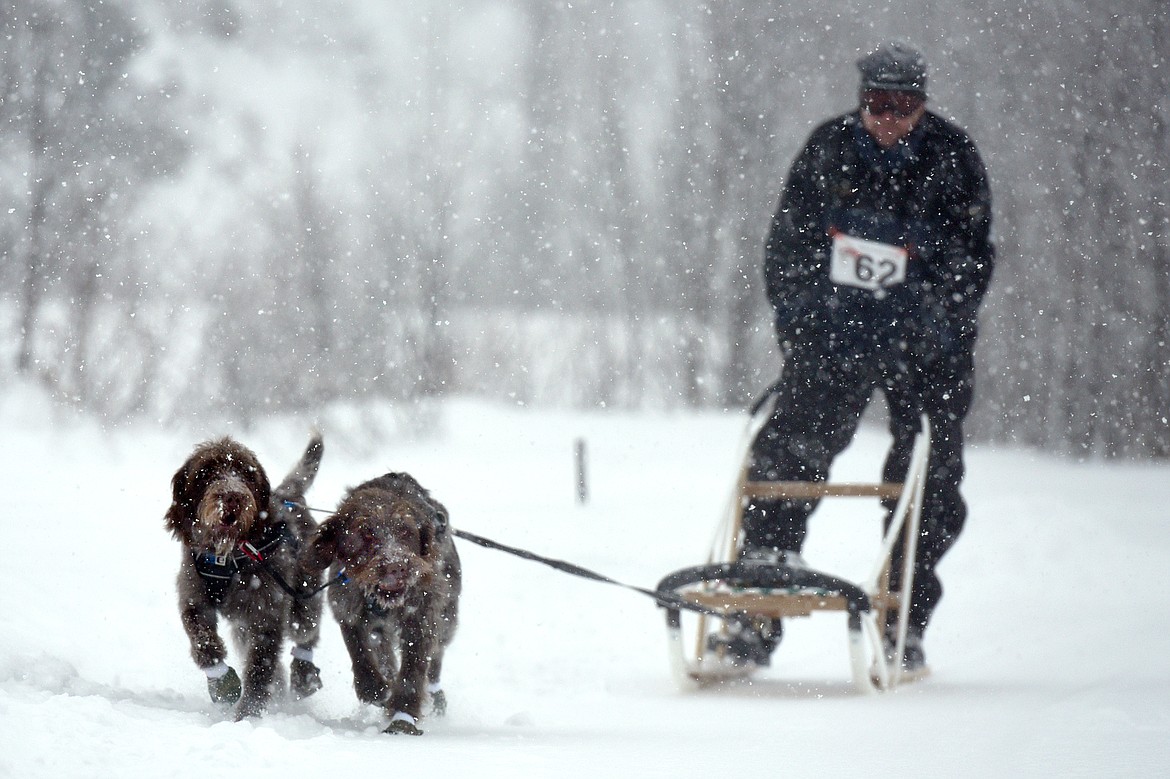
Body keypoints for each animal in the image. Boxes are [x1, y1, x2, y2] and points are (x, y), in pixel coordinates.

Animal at [162, 430, 322, 715]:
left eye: (246, 473)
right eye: (207, 471)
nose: (233, 496)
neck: (226, 557)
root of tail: (289, 495)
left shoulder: (267, 614)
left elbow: (260, 666)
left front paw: (248, 714)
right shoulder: (193, 596)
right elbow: (203, 641)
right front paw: (222, 683)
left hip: (304, 598)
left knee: (306, 632)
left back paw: (304, 674)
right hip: (241, 628)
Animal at [299, 470, 458, 729]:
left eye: (405, 531)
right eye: (366, 533)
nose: (396, 566)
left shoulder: (422, 614)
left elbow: (414, 667)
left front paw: (403, 714)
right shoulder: (345, 603)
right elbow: (358, 647)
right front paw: (374, 688)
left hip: (448, 618)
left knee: (436, 657)